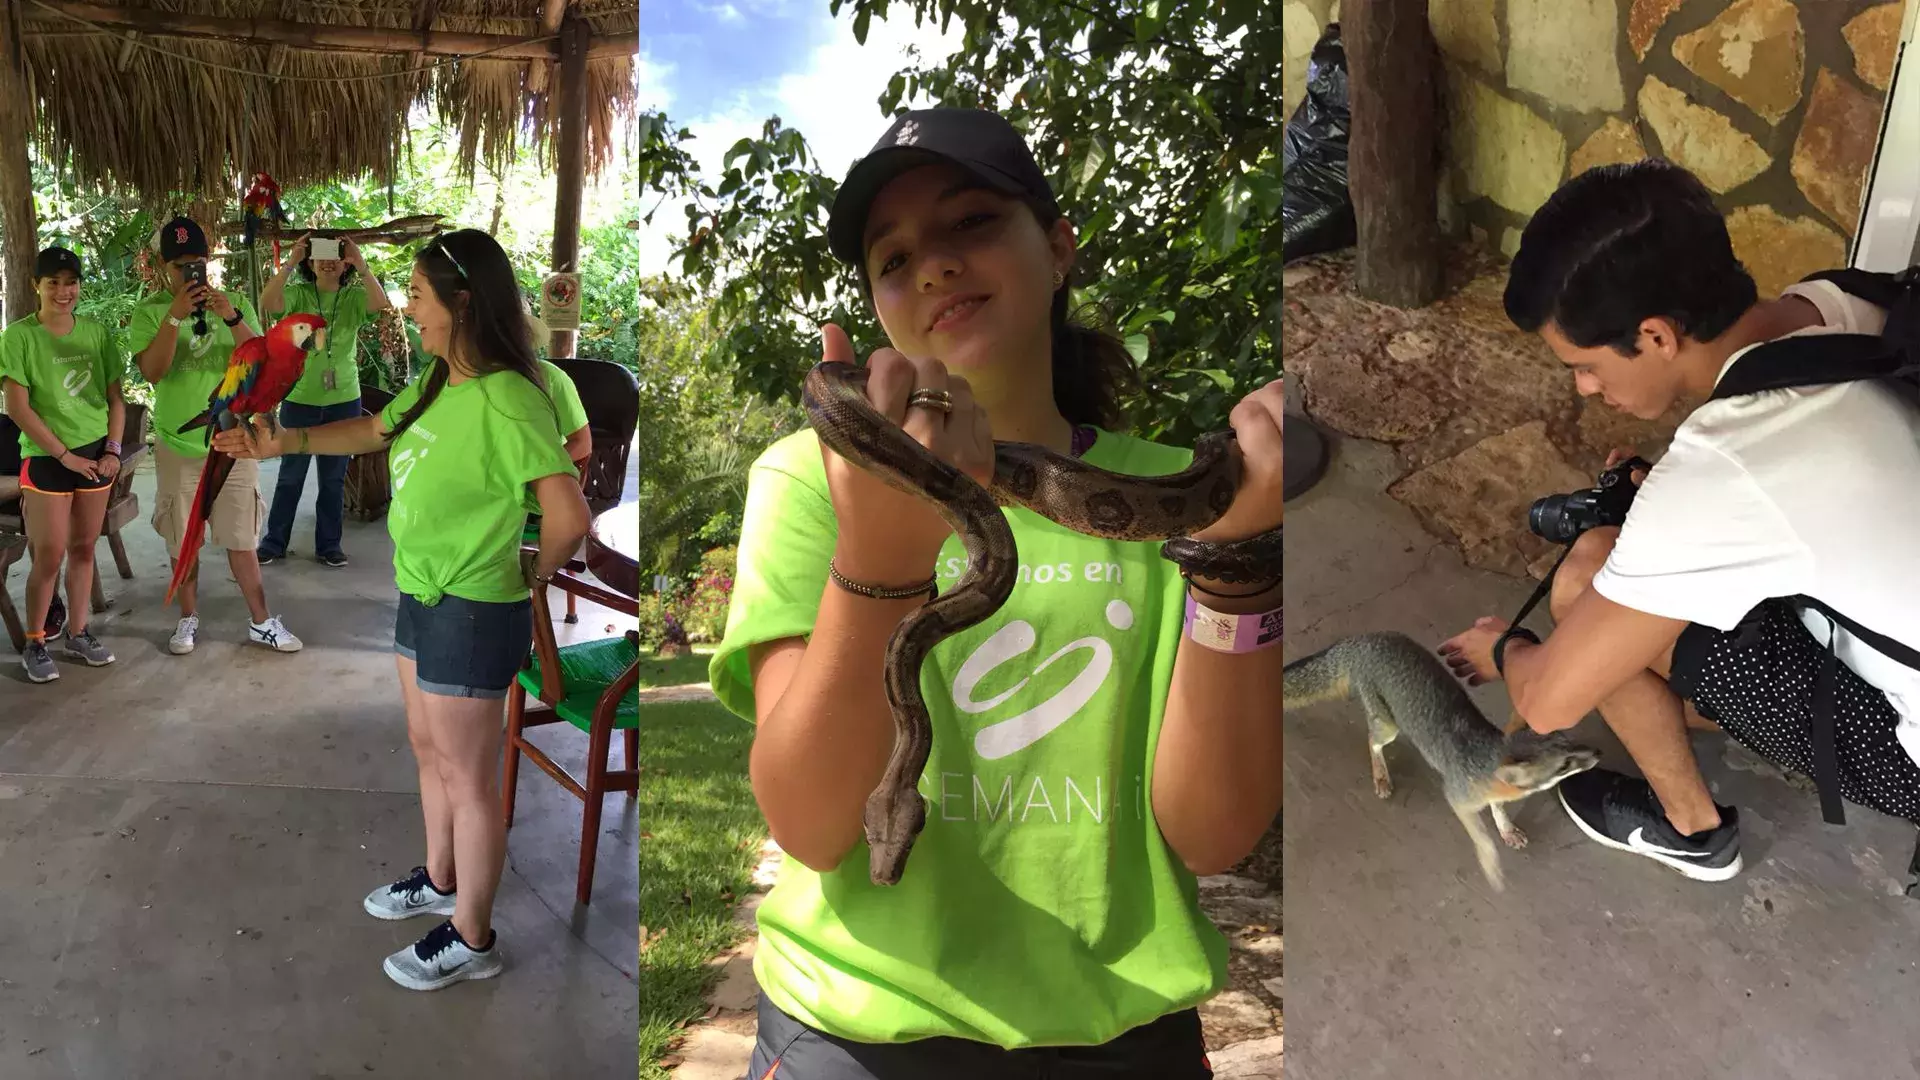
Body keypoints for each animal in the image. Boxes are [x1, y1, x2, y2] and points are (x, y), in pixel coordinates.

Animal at [1290, 626, 1605, 887]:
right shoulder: (1458, 796)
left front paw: (1505, 828)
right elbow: (1480, 836)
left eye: (1568, 742)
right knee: (1373, 740)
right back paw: (1380, 774)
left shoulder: (1495, 791)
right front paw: (1489, 861)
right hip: (1388, 725)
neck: (1489, 755)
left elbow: (1498, 809)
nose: (1598, 753)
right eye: (1564, 765)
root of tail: (1363, 639)